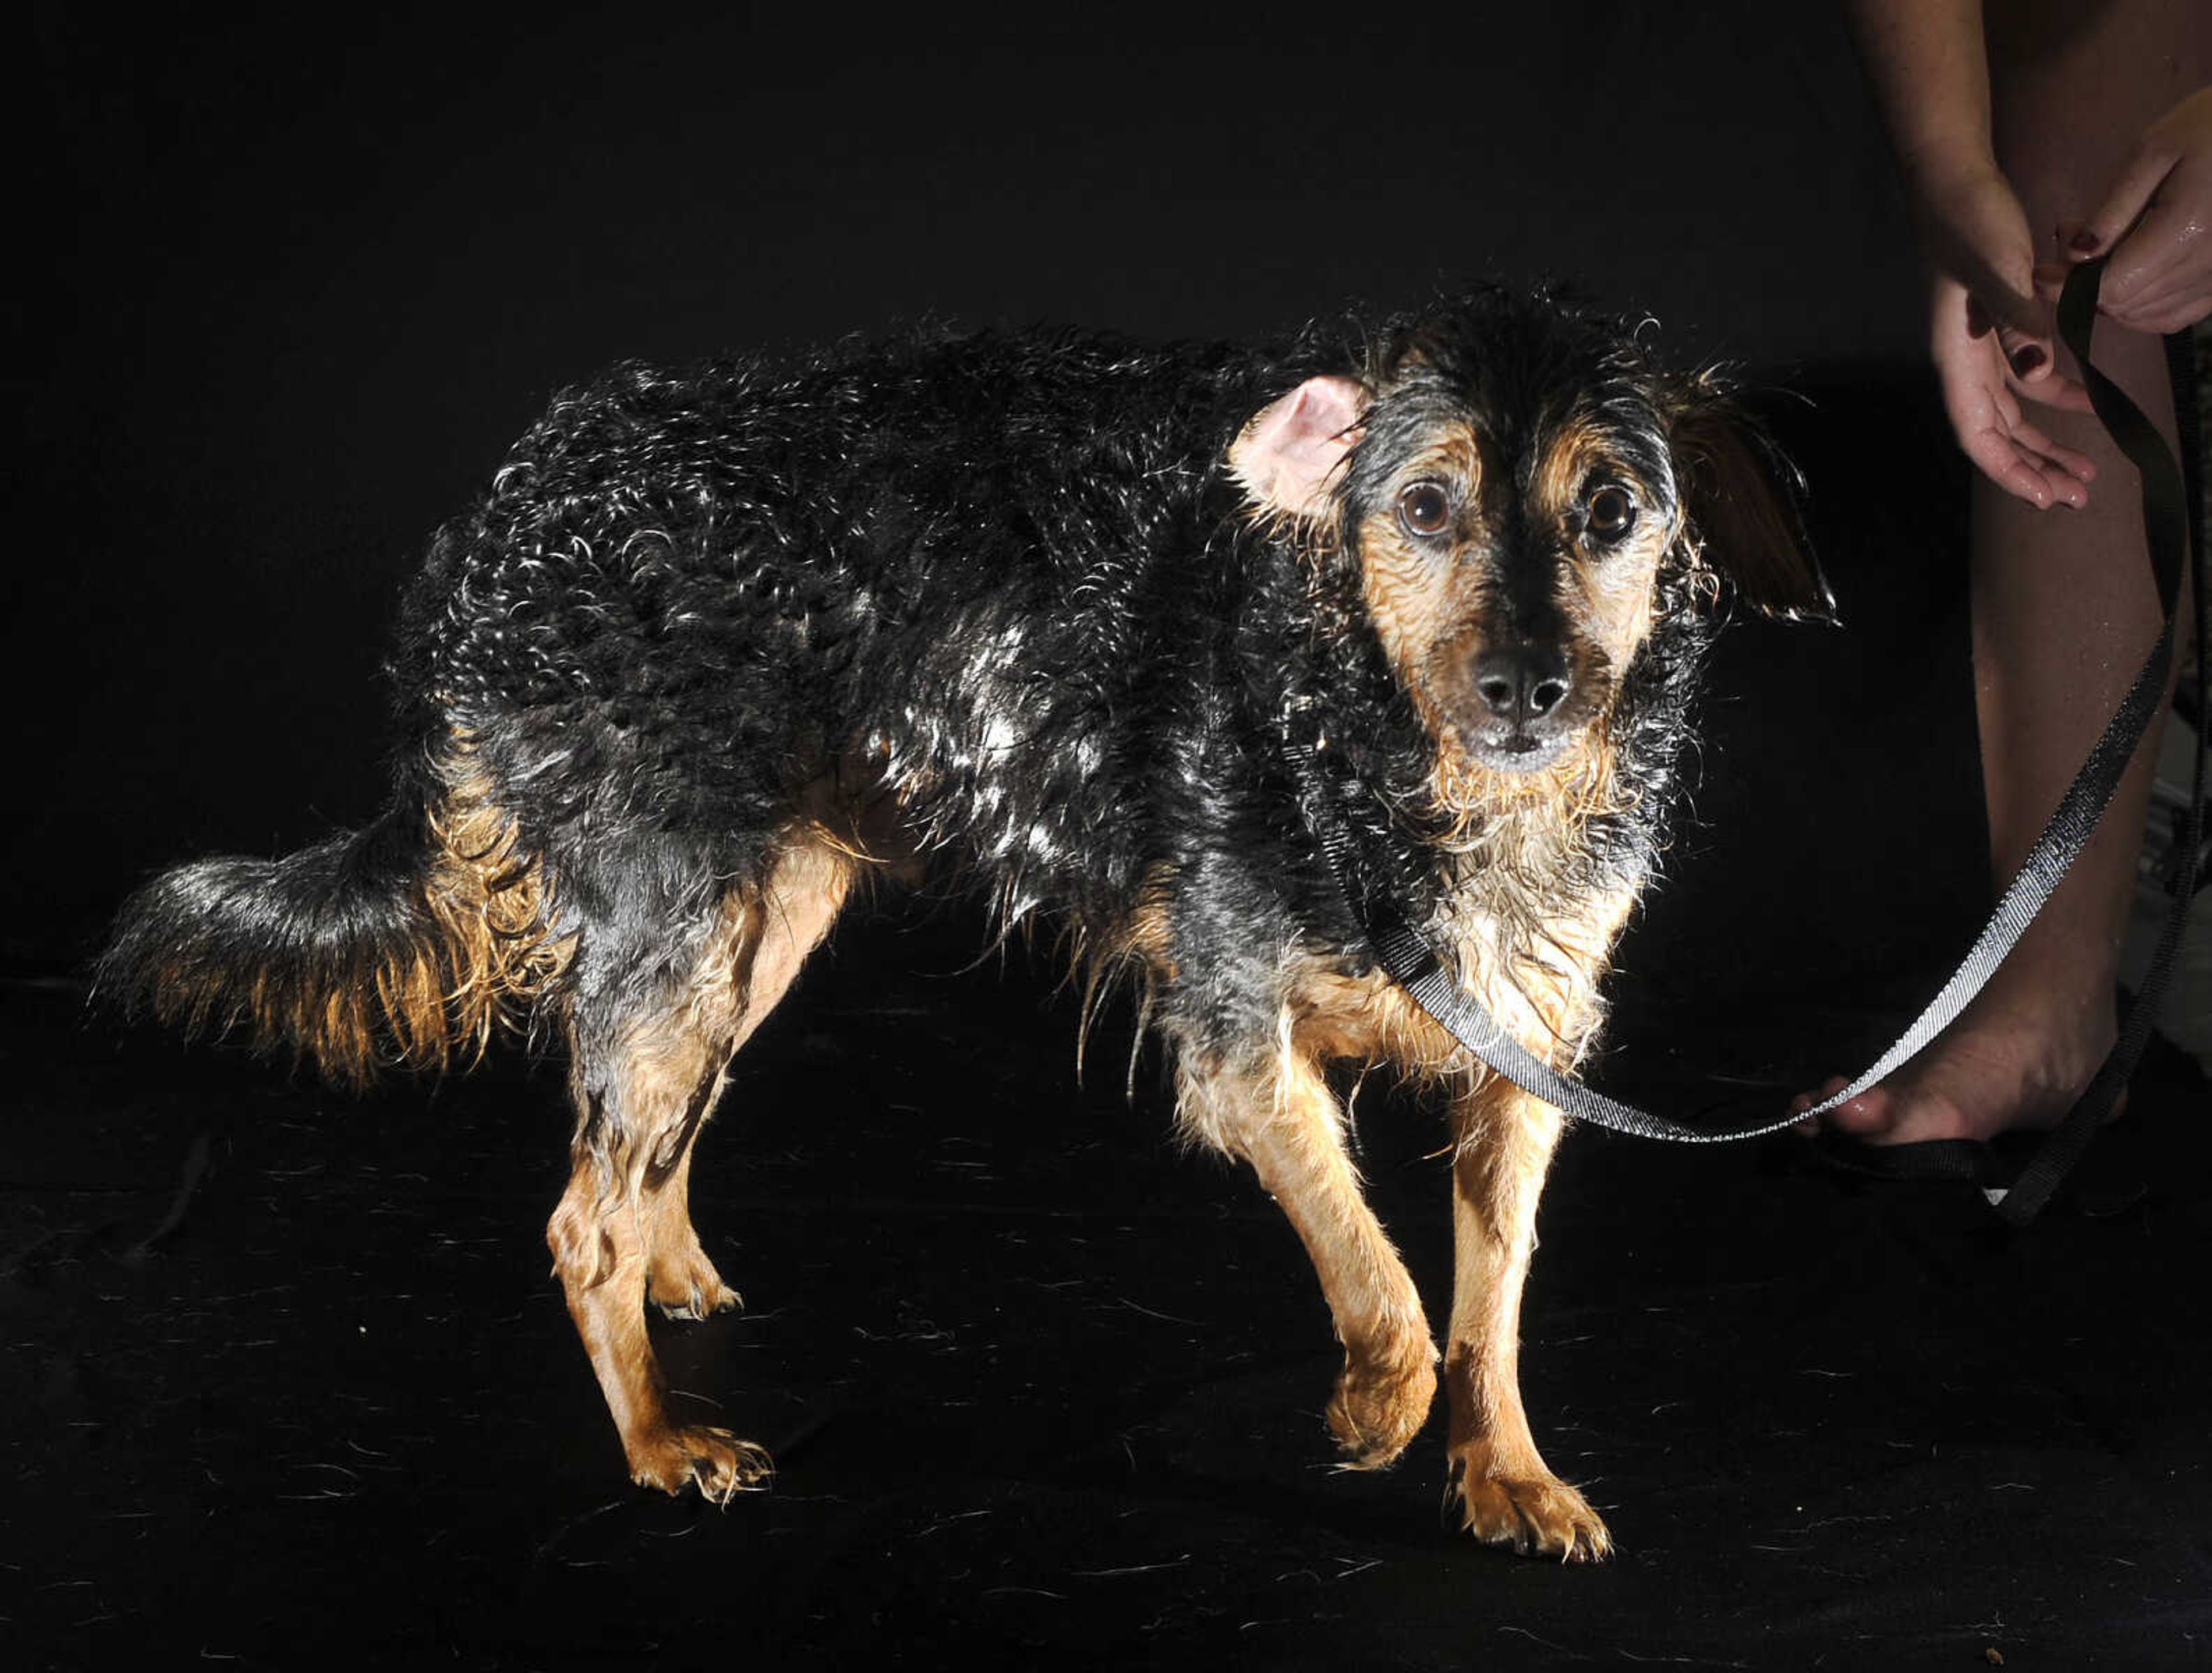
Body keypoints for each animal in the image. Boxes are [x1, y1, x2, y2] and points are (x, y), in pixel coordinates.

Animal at [99, 283, 1831, 1558]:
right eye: (1421, 506)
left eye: (1611, 511)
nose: (1528, 689)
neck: (1368, 733)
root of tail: (502, 509)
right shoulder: (1238, 1050)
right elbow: (1385, 1286)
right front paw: (1372, 1411)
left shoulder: (1521, 1062)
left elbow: (1490, 1305)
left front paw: (1506, 1474)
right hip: (678, 920)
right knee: (581, 1213)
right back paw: (660, 1439)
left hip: (763, 918)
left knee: (654, 1141)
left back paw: (676, 1275)